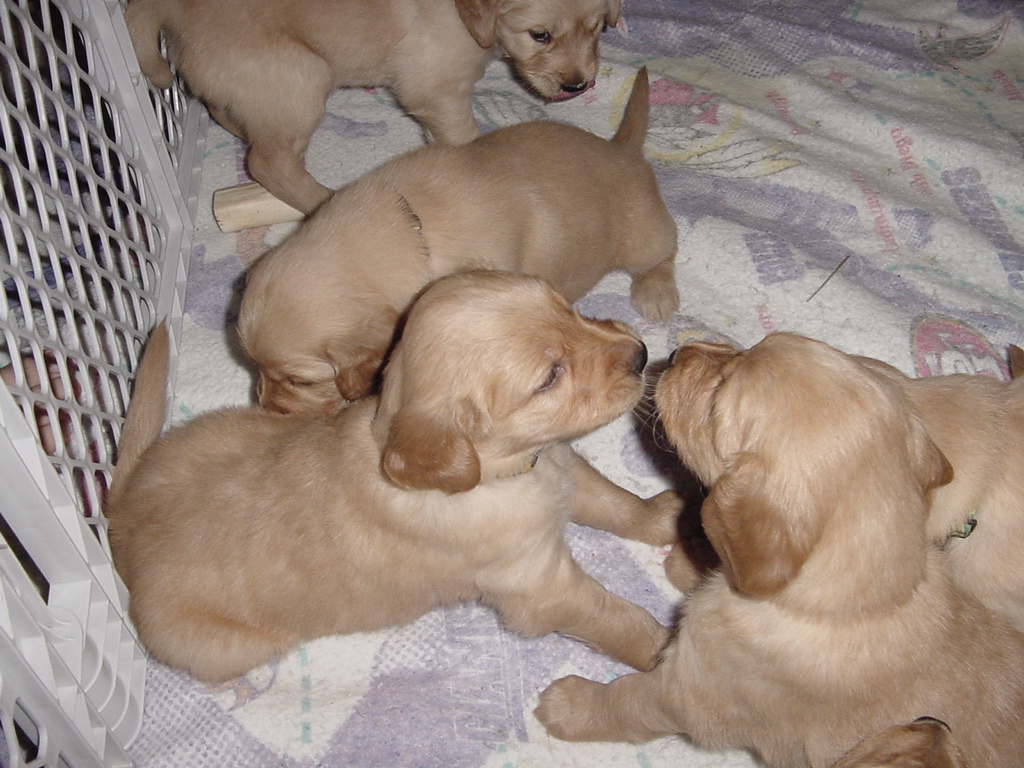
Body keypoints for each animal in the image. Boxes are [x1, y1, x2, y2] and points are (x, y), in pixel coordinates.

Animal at [105, 272, 679, 684]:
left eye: (566, 306)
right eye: (550, 377)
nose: (643, 354)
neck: (499, 474)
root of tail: (120, 515)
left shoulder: (562, 468)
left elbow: (614, 501)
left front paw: (666, 519)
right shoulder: (538, 585)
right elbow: (615, 617)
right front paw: (670, 658)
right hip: (223, 645)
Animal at [128, 0, 622, 214]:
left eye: (598, 27)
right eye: (540, 35)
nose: (578, 84)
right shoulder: (434, 86)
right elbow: (463, 139)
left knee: (226, 113)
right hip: (300, 77)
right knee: (270, 163)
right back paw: (322, 200)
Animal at [235, 69, 675, 417]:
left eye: (301, 381)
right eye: (251, 364)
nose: (266, 407)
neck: (408, 228)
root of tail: (619, 148)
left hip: (644, 233)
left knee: (664, 251)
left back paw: (655, 293)